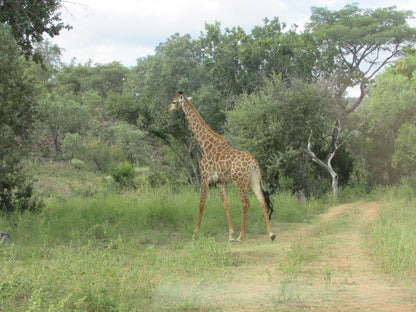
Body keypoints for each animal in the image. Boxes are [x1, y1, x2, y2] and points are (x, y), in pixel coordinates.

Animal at [166, 90, 276, 241]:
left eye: (174, 101)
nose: (166, 110)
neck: (205, 144)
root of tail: (254, 164)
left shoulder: (205, 177)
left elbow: (201, 204)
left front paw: (196, 232)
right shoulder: (219, 181)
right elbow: (225, 204)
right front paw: (230, 234)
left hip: (240, 182)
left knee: (246, 203)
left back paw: (241, 236)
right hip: (253, 180)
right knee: (261, 200)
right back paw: (271, 234)